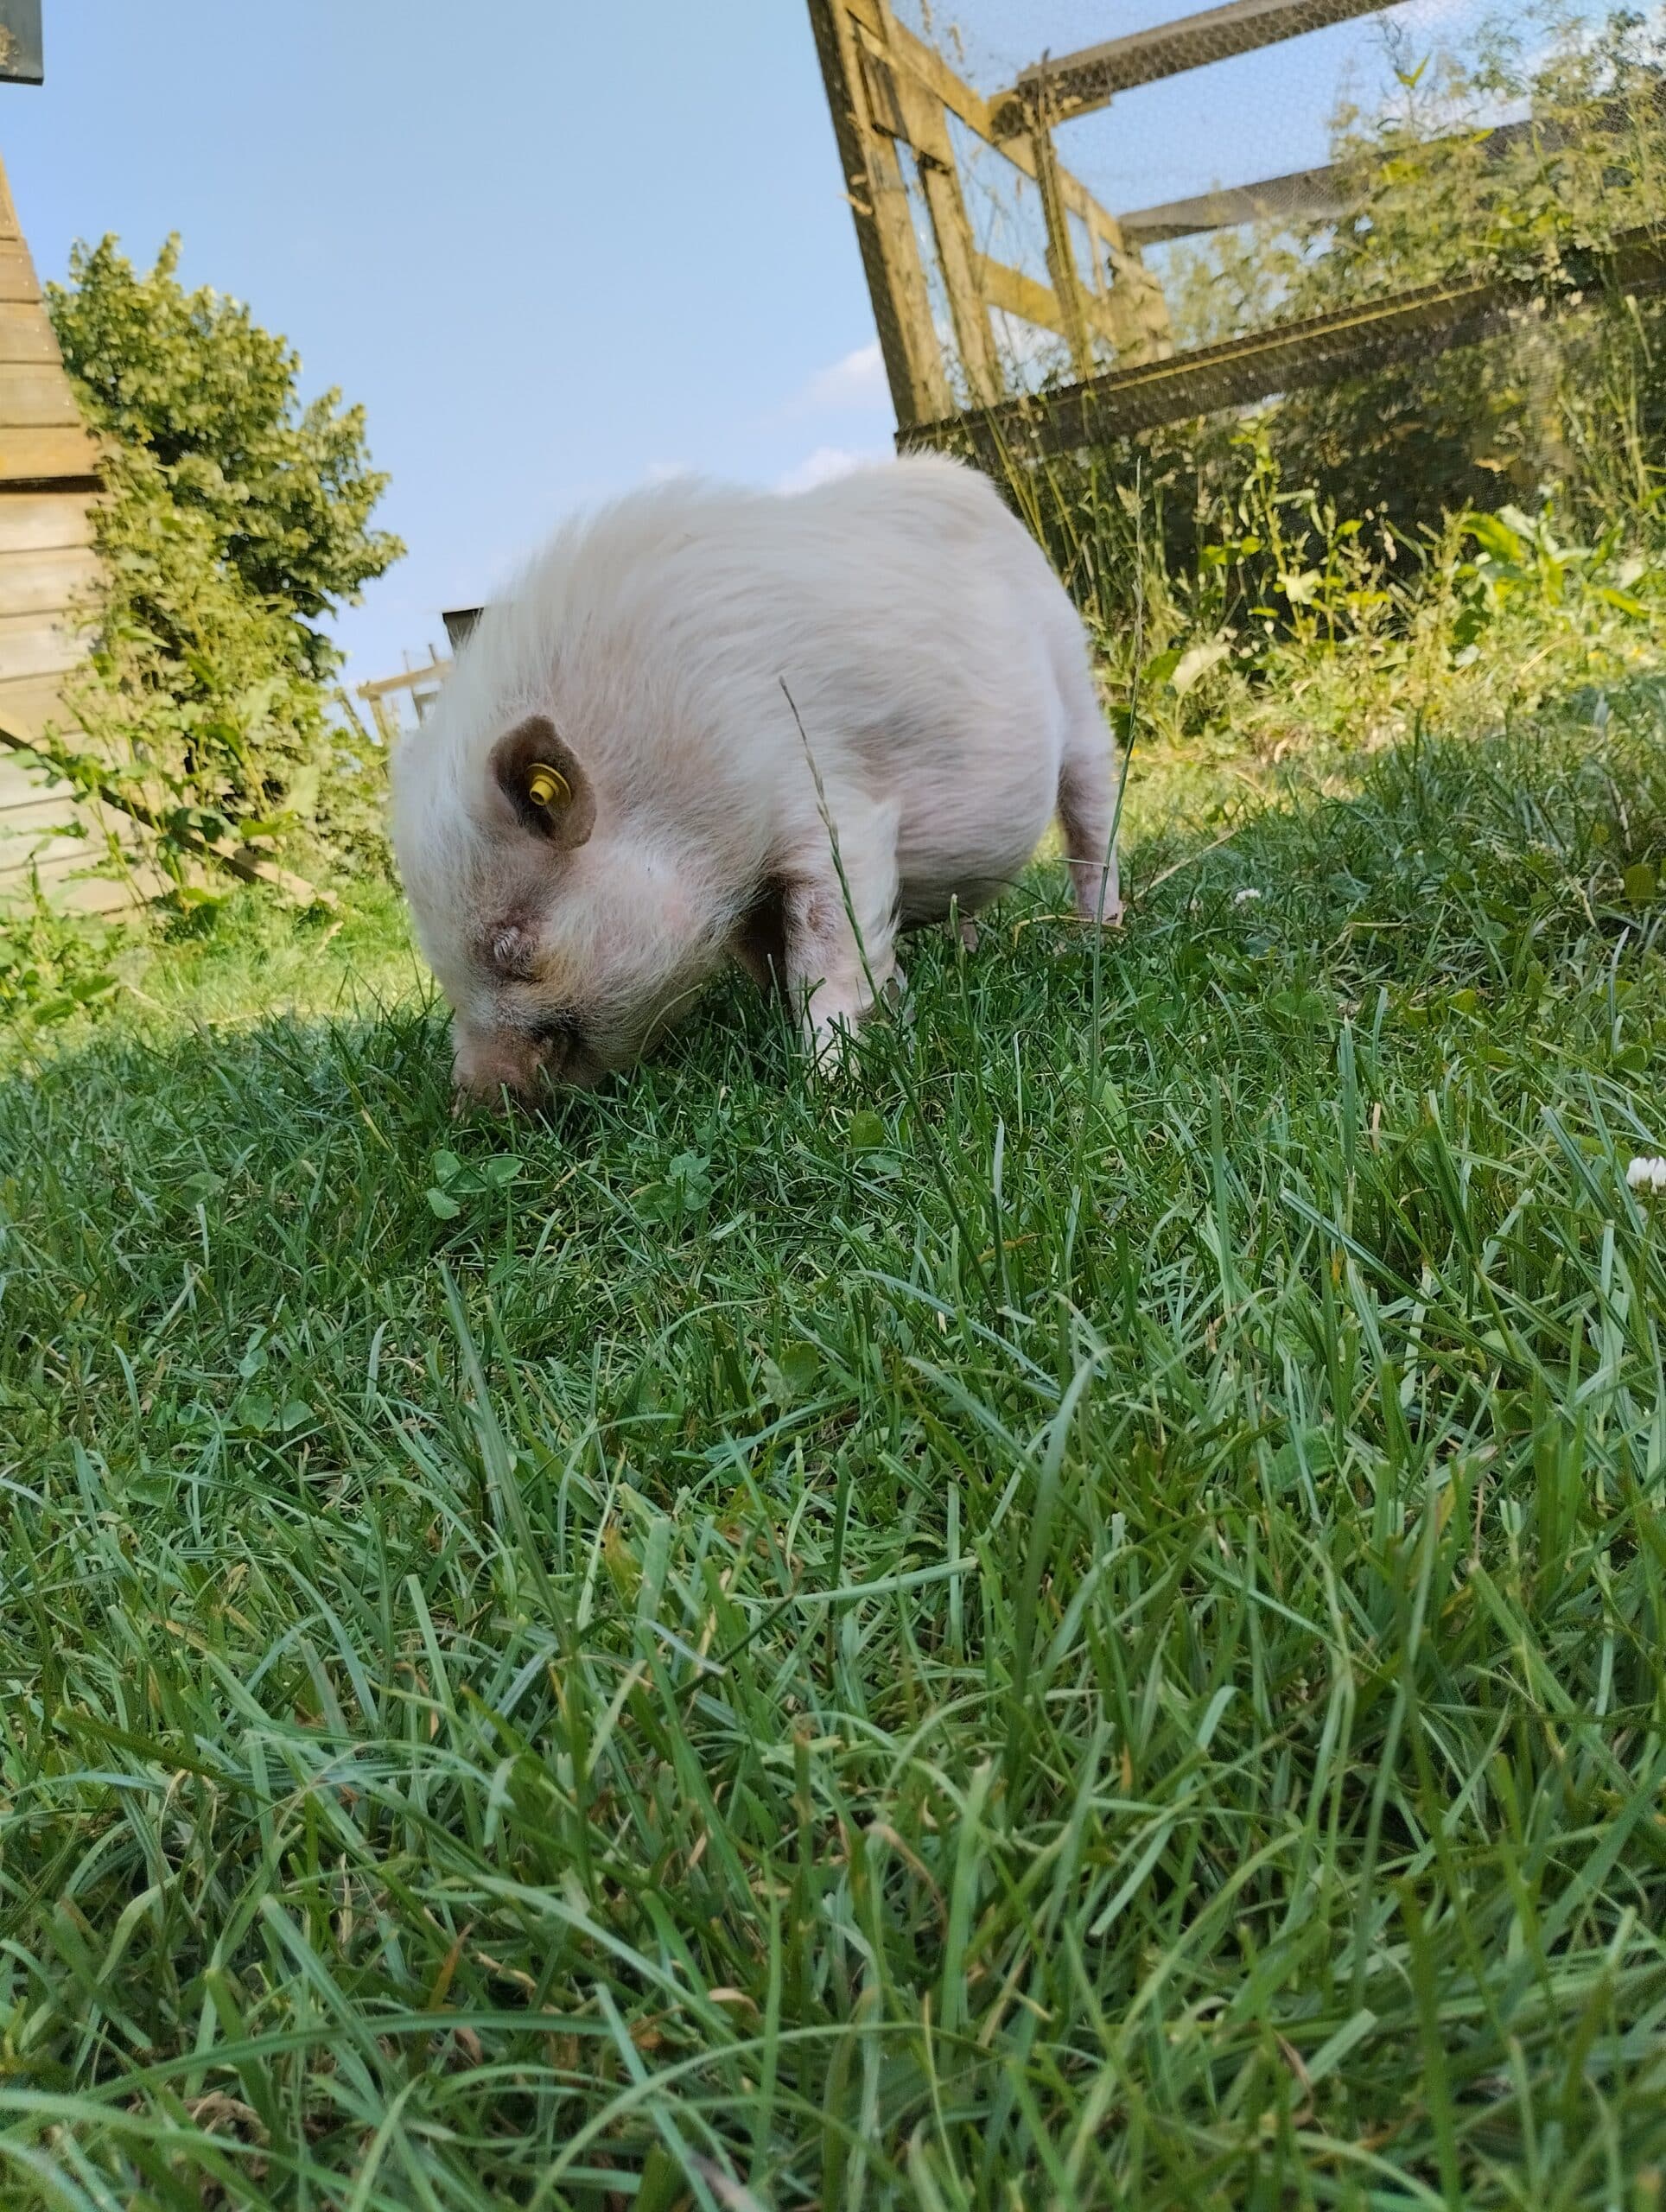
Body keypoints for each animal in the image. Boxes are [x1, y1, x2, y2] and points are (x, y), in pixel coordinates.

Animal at [387, 451, 1119, 1096]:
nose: (471, 1097)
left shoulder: (830, 803)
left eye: (510, 945)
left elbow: (826, 950)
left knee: (1092, 820)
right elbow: (767, 956)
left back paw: (1092, 940)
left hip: (1077, 685)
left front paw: (826, 1081)